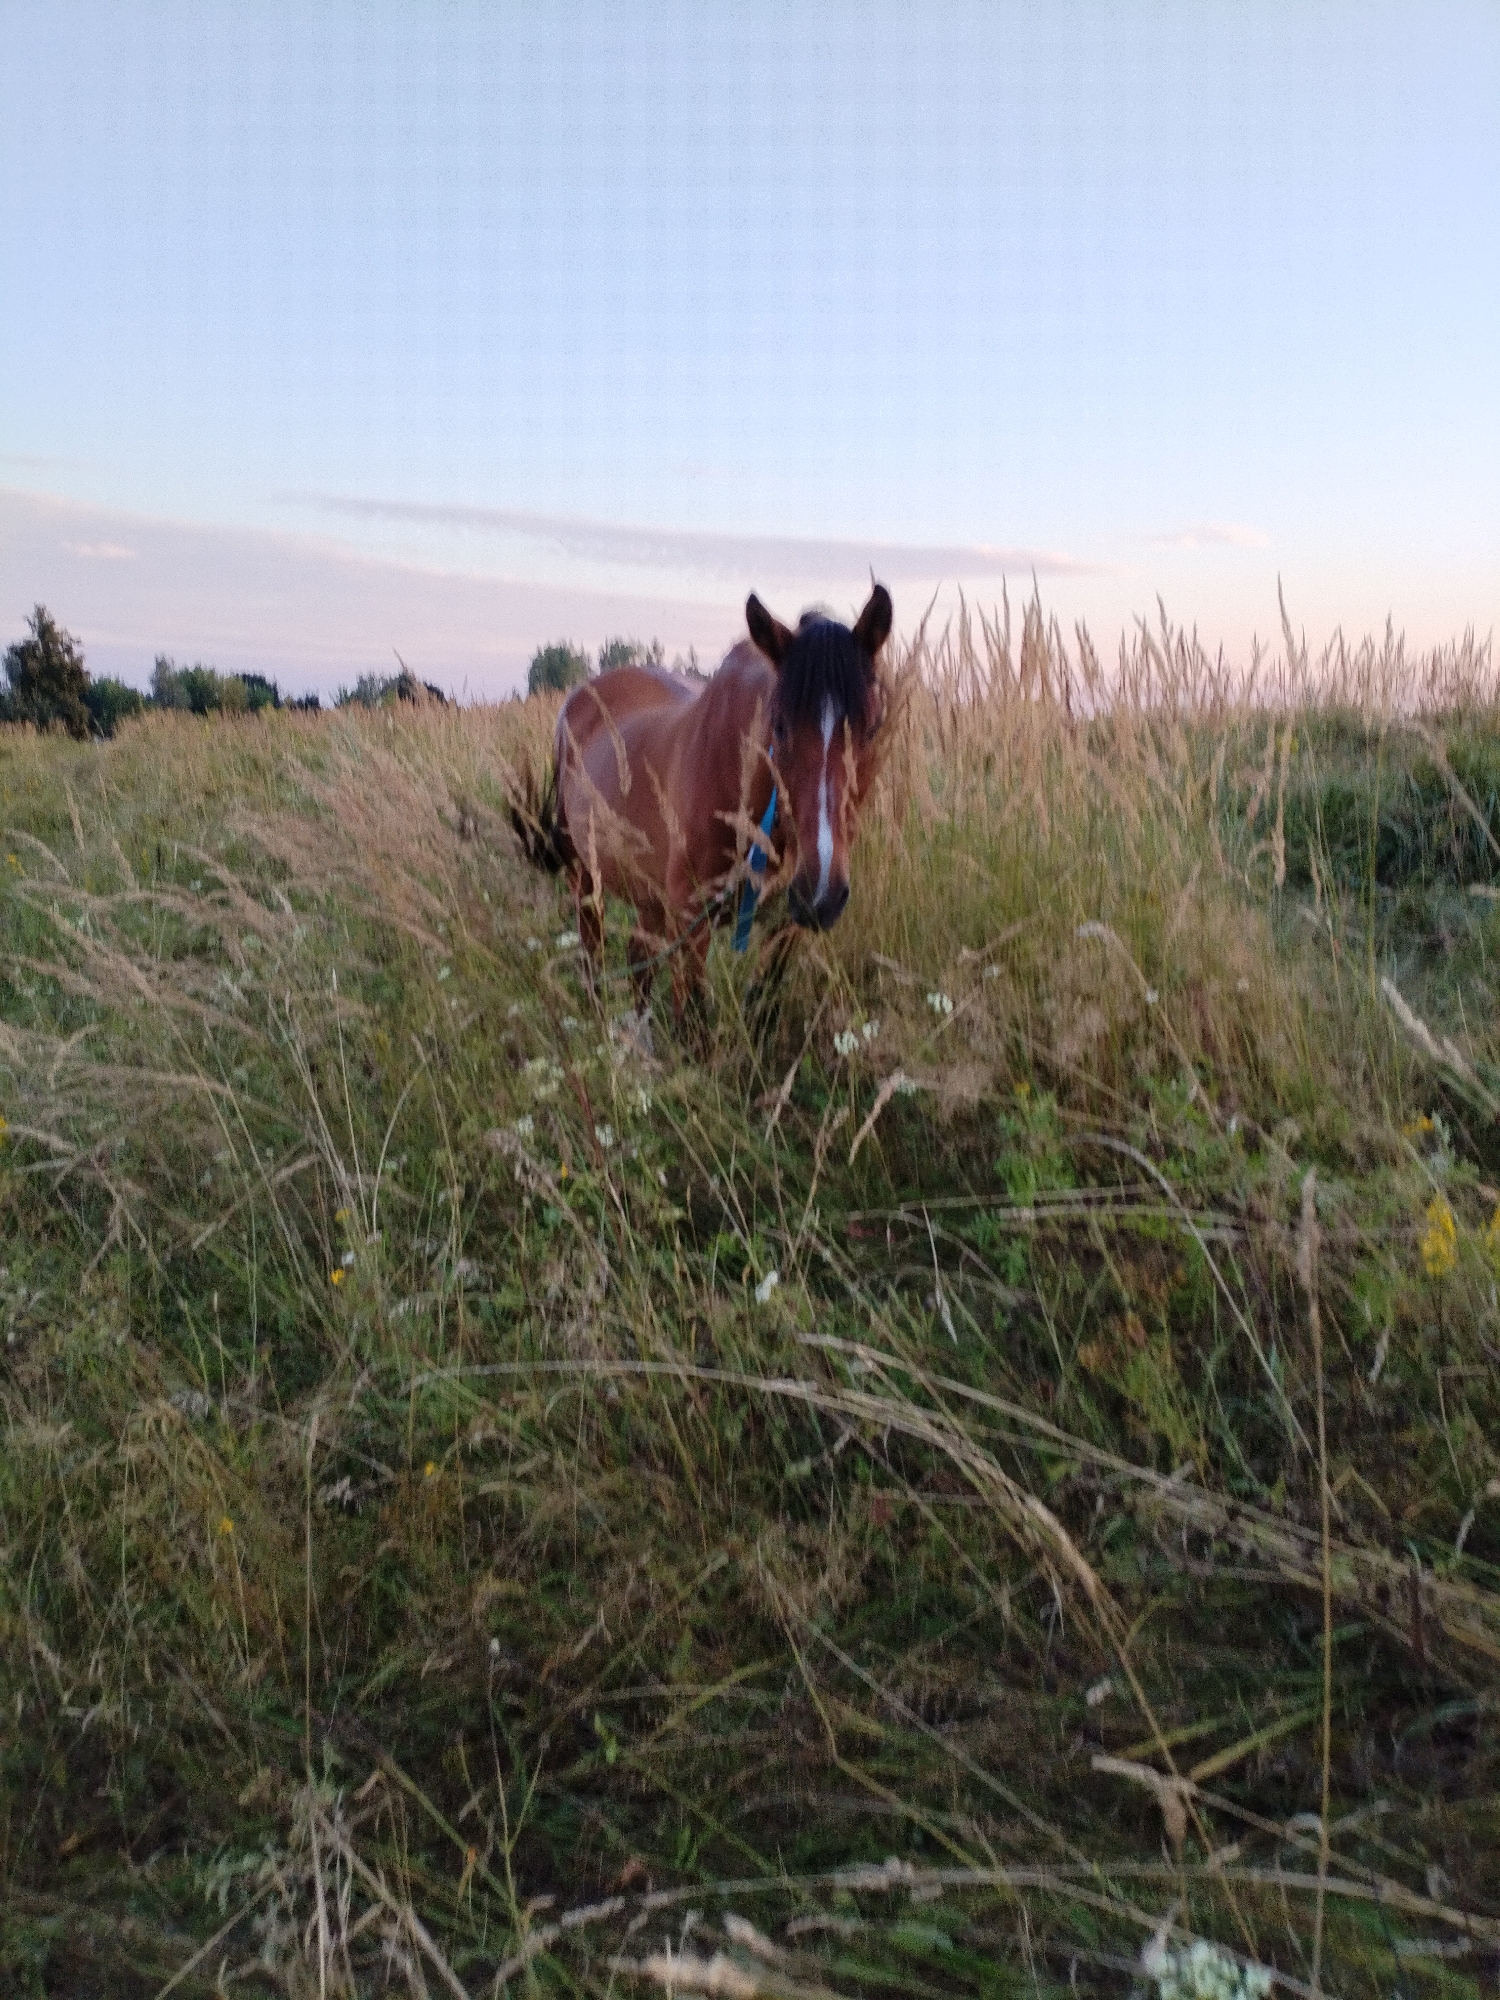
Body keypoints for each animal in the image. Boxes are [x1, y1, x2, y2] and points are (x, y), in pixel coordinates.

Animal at [514, 584, 893, 1014]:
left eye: (874, 726)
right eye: (779, 725)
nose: (820, 895)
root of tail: (575, 700)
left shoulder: (784, 926)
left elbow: (763, 1008)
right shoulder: (690, 924)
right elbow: (693, 1019)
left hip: (647, 893)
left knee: (638, 957)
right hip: (585, 878)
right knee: (593, 956)